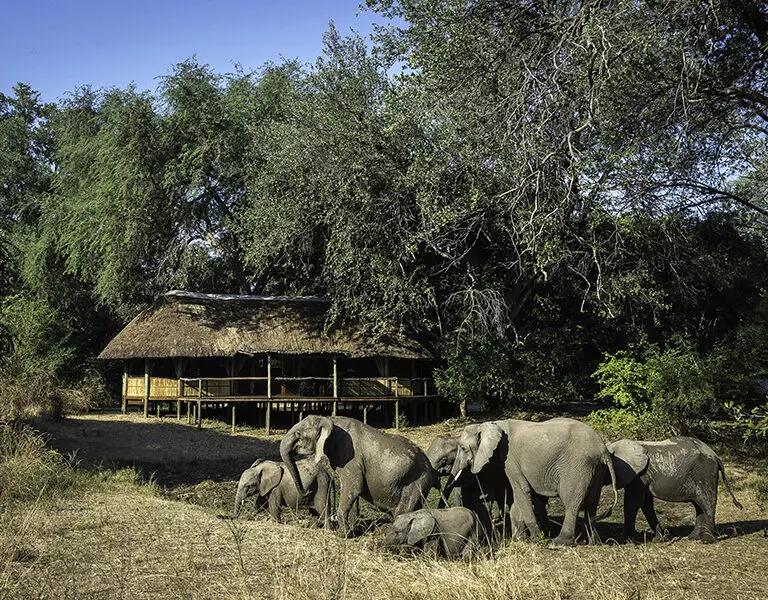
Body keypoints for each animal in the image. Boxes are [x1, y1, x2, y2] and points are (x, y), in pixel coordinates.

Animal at [280, 415, 440, 537]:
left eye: (298, 434)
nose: (307, 491)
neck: (328, 419)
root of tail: (432, 470)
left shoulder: (351, 457)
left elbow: (353, 487)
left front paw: (342, 535)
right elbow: (353, 492)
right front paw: (353, 531)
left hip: (417, 482)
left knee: (403, 511)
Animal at [449, 417, 618, 546]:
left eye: (462, 448)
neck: (492, 424)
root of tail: (603, 451)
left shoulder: (509, 459)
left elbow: (521, 491)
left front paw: (536, 539)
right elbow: (517, 496)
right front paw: (520, 538)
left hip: (577, 468)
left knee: (572, 503)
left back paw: (559, 543)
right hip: (596, 469)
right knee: (592, 505)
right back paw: (592, 542)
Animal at [607, 436, 743, 543]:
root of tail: (716, 456)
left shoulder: (639, 476)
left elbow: (633, 502)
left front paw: (627, 540)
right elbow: (645, 503)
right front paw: (659, 540)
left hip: (705, 472)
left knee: (706, 502)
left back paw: (708, 540)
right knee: (698, 504)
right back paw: (693, 538)